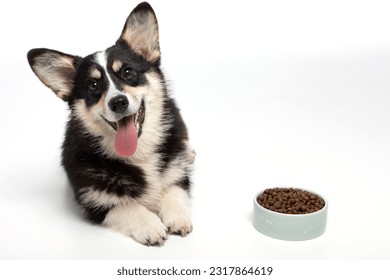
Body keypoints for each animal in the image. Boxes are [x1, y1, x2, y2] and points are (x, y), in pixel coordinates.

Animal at [26, 2, 194, 247]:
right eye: (93, 85)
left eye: (127, 72)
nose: (118, 102)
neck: (139, 154)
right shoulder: (95, 202)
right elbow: (126, 205)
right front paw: (150, 225)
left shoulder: (178, 176)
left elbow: (172, 190)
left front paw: (177, 215)